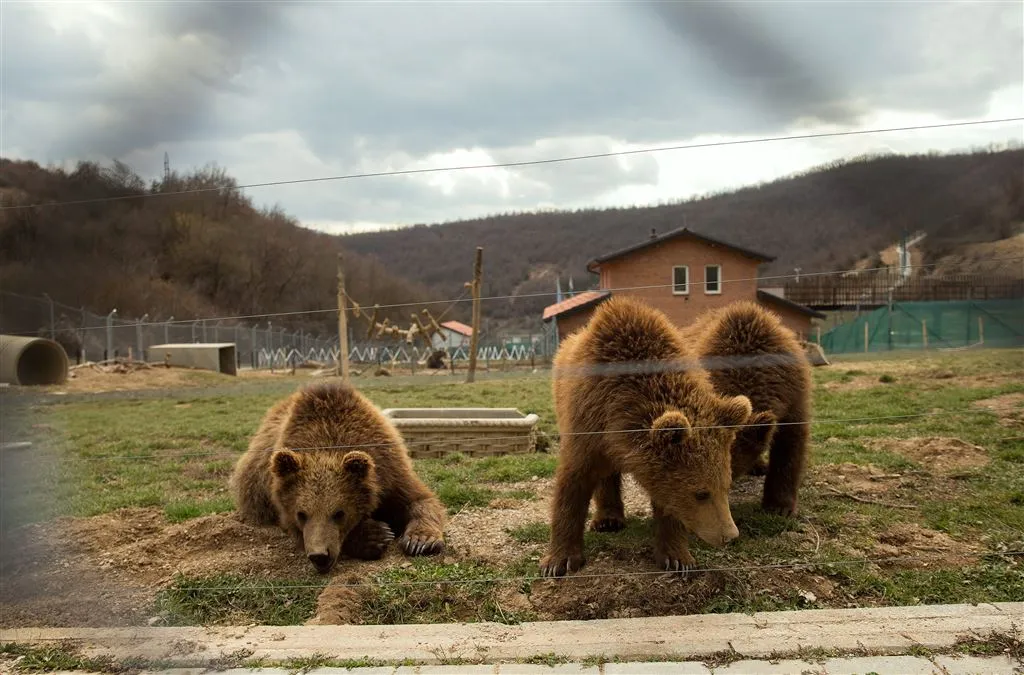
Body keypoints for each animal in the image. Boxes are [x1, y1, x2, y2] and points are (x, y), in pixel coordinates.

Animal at [232, 383, 448, 573]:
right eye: (302, 514)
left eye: (339, 513)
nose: (319, 556)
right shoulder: (283, 506)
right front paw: (375, 535)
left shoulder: (391, 473)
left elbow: (420, 500)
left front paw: (420, 541)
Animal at [544, 299, 770, 577]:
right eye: (701, 493)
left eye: (725, 486)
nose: (729, 536)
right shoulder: (586, 423)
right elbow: (573, 484)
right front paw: (559, 560)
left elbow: (668, 500)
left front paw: (677, 557)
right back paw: (608, 519)